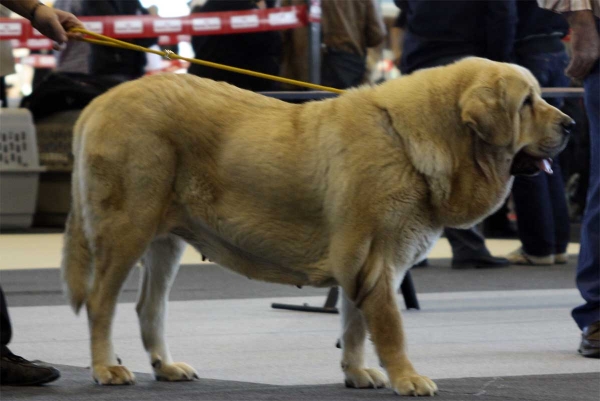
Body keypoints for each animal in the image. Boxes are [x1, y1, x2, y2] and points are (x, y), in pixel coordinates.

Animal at [62, 57, 572, 396]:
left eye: (539, 97)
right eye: (527, 103)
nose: (569, 124)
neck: (415, 139)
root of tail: (99, 102)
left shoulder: (362, 263)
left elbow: (355, 324)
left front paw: (357, 373)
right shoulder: (378, 259)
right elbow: (390, 328)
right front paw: (407, 378)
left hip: (165, 242)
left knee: (149, 307)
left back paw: (166, 366)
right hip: (126, 229)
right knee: (101, 303)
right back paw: (106, 368)